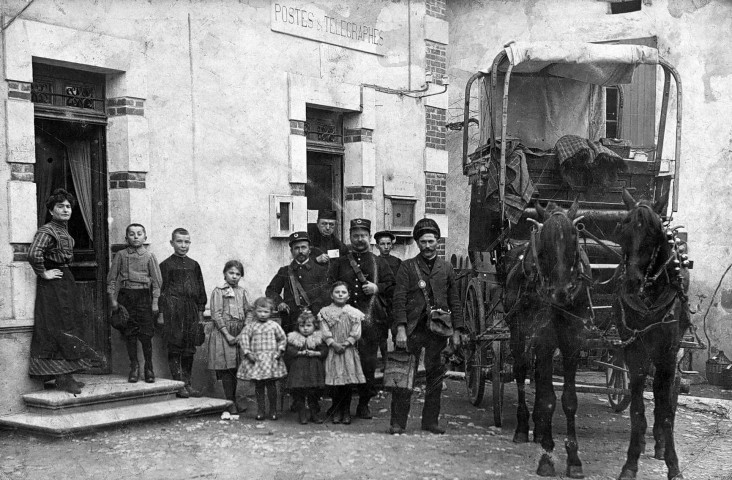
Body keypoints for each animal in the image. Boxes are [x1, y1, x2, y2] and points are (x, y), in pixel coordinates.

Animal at [506, 201, 592, 478]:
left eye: (574, 238)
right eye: (544, 241)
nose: (561, 292)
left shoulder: (572, 343)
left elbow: (568, 400)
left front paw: (574, 459)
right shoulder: (543, 340)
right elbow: (546, 400)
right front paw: (547, 457)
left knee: (538, 377)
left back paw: (540, 429)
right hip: (518, 332)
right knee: (522, 370)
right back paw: (524, 427)